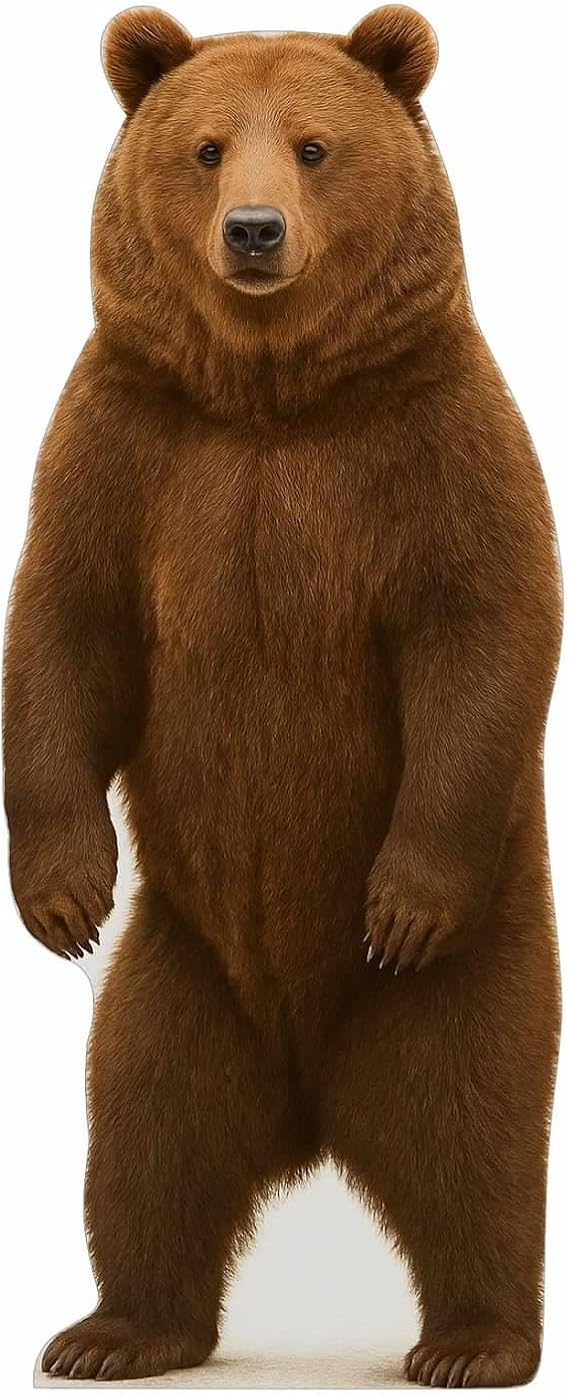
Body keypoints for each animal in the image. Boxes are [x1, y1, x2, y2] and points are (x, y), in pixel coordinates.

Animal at [3, 4, 562, 1386]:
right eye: (206, 148)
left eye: (312, 146)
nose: (252, 232)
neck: (268, 396)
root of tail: (306, 1099)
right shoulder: (124, 440)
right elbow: (65, 629)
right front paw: (60, 897)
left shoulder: (435, 437)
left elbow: (483, 628)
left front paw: (401, 901)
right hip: (174, 973)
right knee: (144, 1137)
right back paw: (112, 1329)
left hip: (472, 963)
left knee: (472, 1131)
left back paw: (474, 1339)